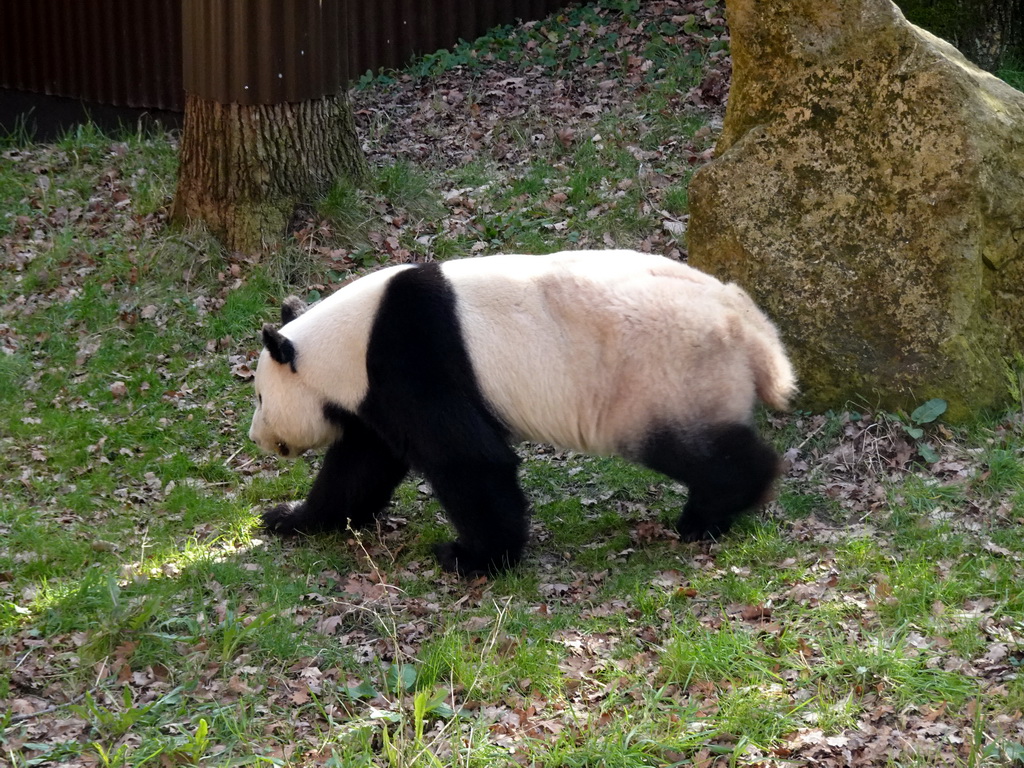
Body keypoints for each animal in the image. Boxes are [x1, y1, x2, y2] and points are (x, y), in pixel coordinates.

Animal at [251, 249, 794, 573]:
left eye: (258, 396)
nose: (257, 438)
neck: (349, 340)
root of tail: (751, 329)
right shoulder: (375, 395)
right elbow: (361, 466)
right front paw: (289, 518)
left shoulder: (411, 358)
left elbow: (468, 459)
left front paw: (472, 556)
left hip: (661, 377)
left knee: (698, 451)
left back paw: (710, 513)